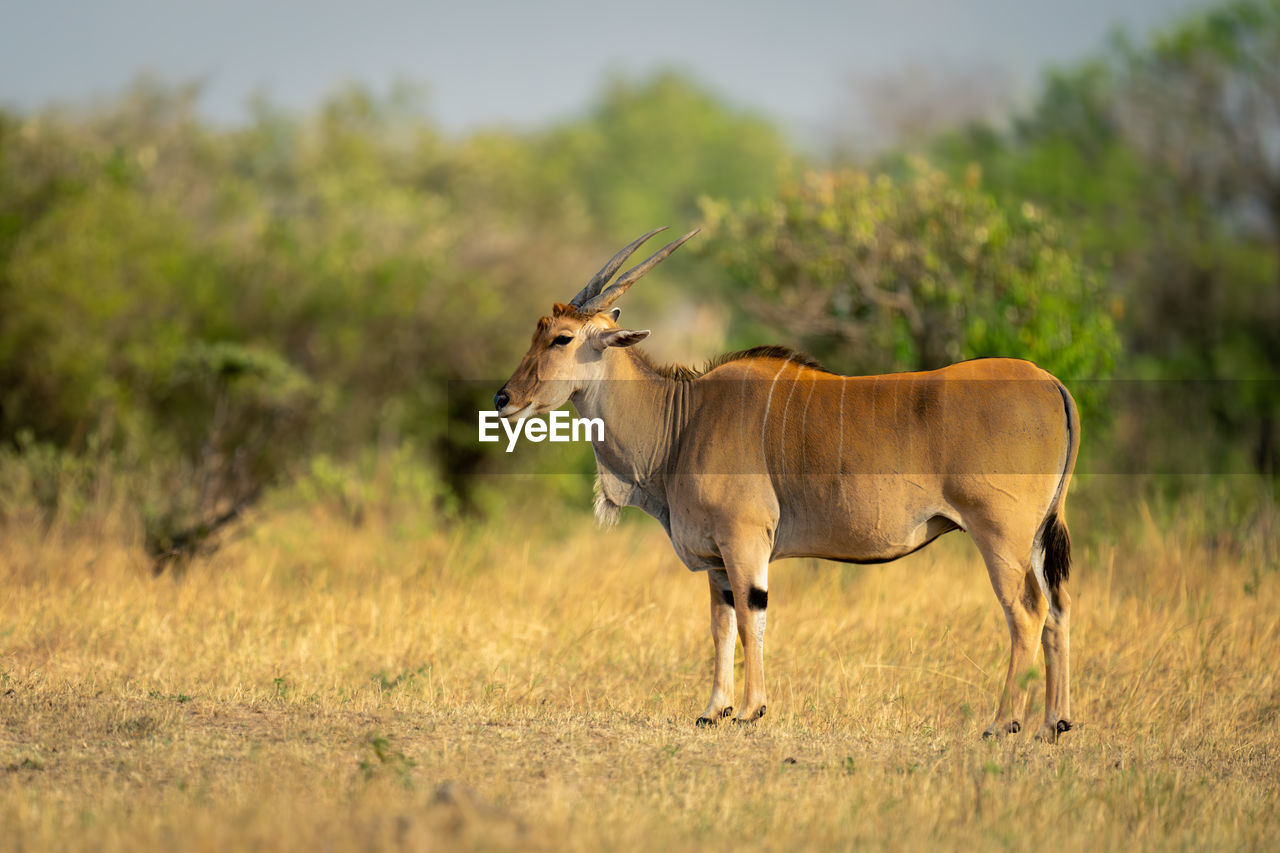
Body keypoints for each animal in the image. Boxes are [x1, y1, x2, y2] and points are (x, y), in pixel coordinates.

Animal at [494, 225, 1075, 737]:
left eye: (562, 338)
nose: (504, 398)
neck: (682, 419)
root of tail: (1052, 383)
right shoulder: (717, 560)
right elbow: (721, 625)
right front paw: (714, 710)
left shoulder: (745, 542)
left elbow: (752, 617)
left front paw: (751, 710)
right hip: (1036, 540)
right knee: (1057, 609)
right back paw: (1054, 724)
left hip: (999, 536)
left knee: (1026, 612)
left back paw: (1003, 723)